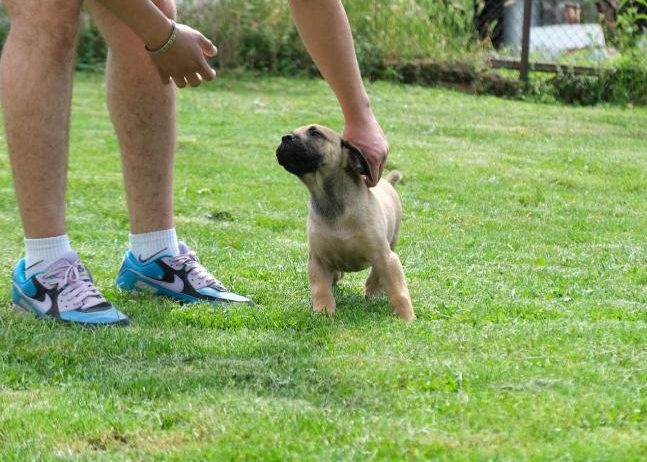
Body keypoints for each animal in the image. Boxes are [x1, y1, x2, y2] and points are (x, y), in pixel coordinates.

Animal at [274, 124, 416, 324]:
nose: (285, 138)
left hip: (390, 244)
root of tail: (388, 182)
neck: (331, 203)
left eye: (315, 133)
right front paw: (324, 312)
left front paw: (407, 318)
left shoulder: (386, 257)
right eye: (293, 132)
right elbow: (321, 289)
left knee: (375, 275)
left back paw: (373, 291)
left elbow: (398, 291)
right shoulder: (317, 260)